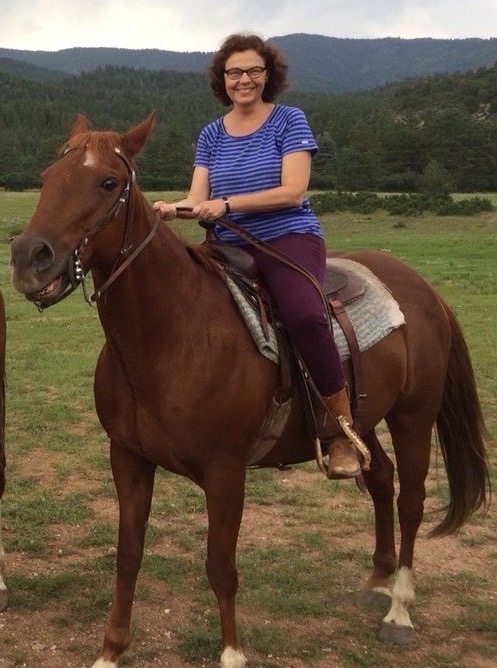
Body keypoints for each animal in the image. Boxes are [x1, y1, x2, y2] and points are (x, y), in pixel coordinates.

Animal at [8, 112, 488, 664]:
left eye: (108, 183)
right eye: (47, 178)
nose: (28, 257)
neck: (173, 335)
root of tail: (423, 288)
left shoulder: (225, 472)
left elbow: (221, 567)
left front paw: (232, 652)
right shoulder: (128, 458)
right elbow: (128, 554)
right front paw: (111, 649)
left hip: (414, 416)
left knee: (411, 500)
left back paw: (399, 609)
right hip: (364, 420)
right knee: (380, 477)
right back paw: (377, 581)